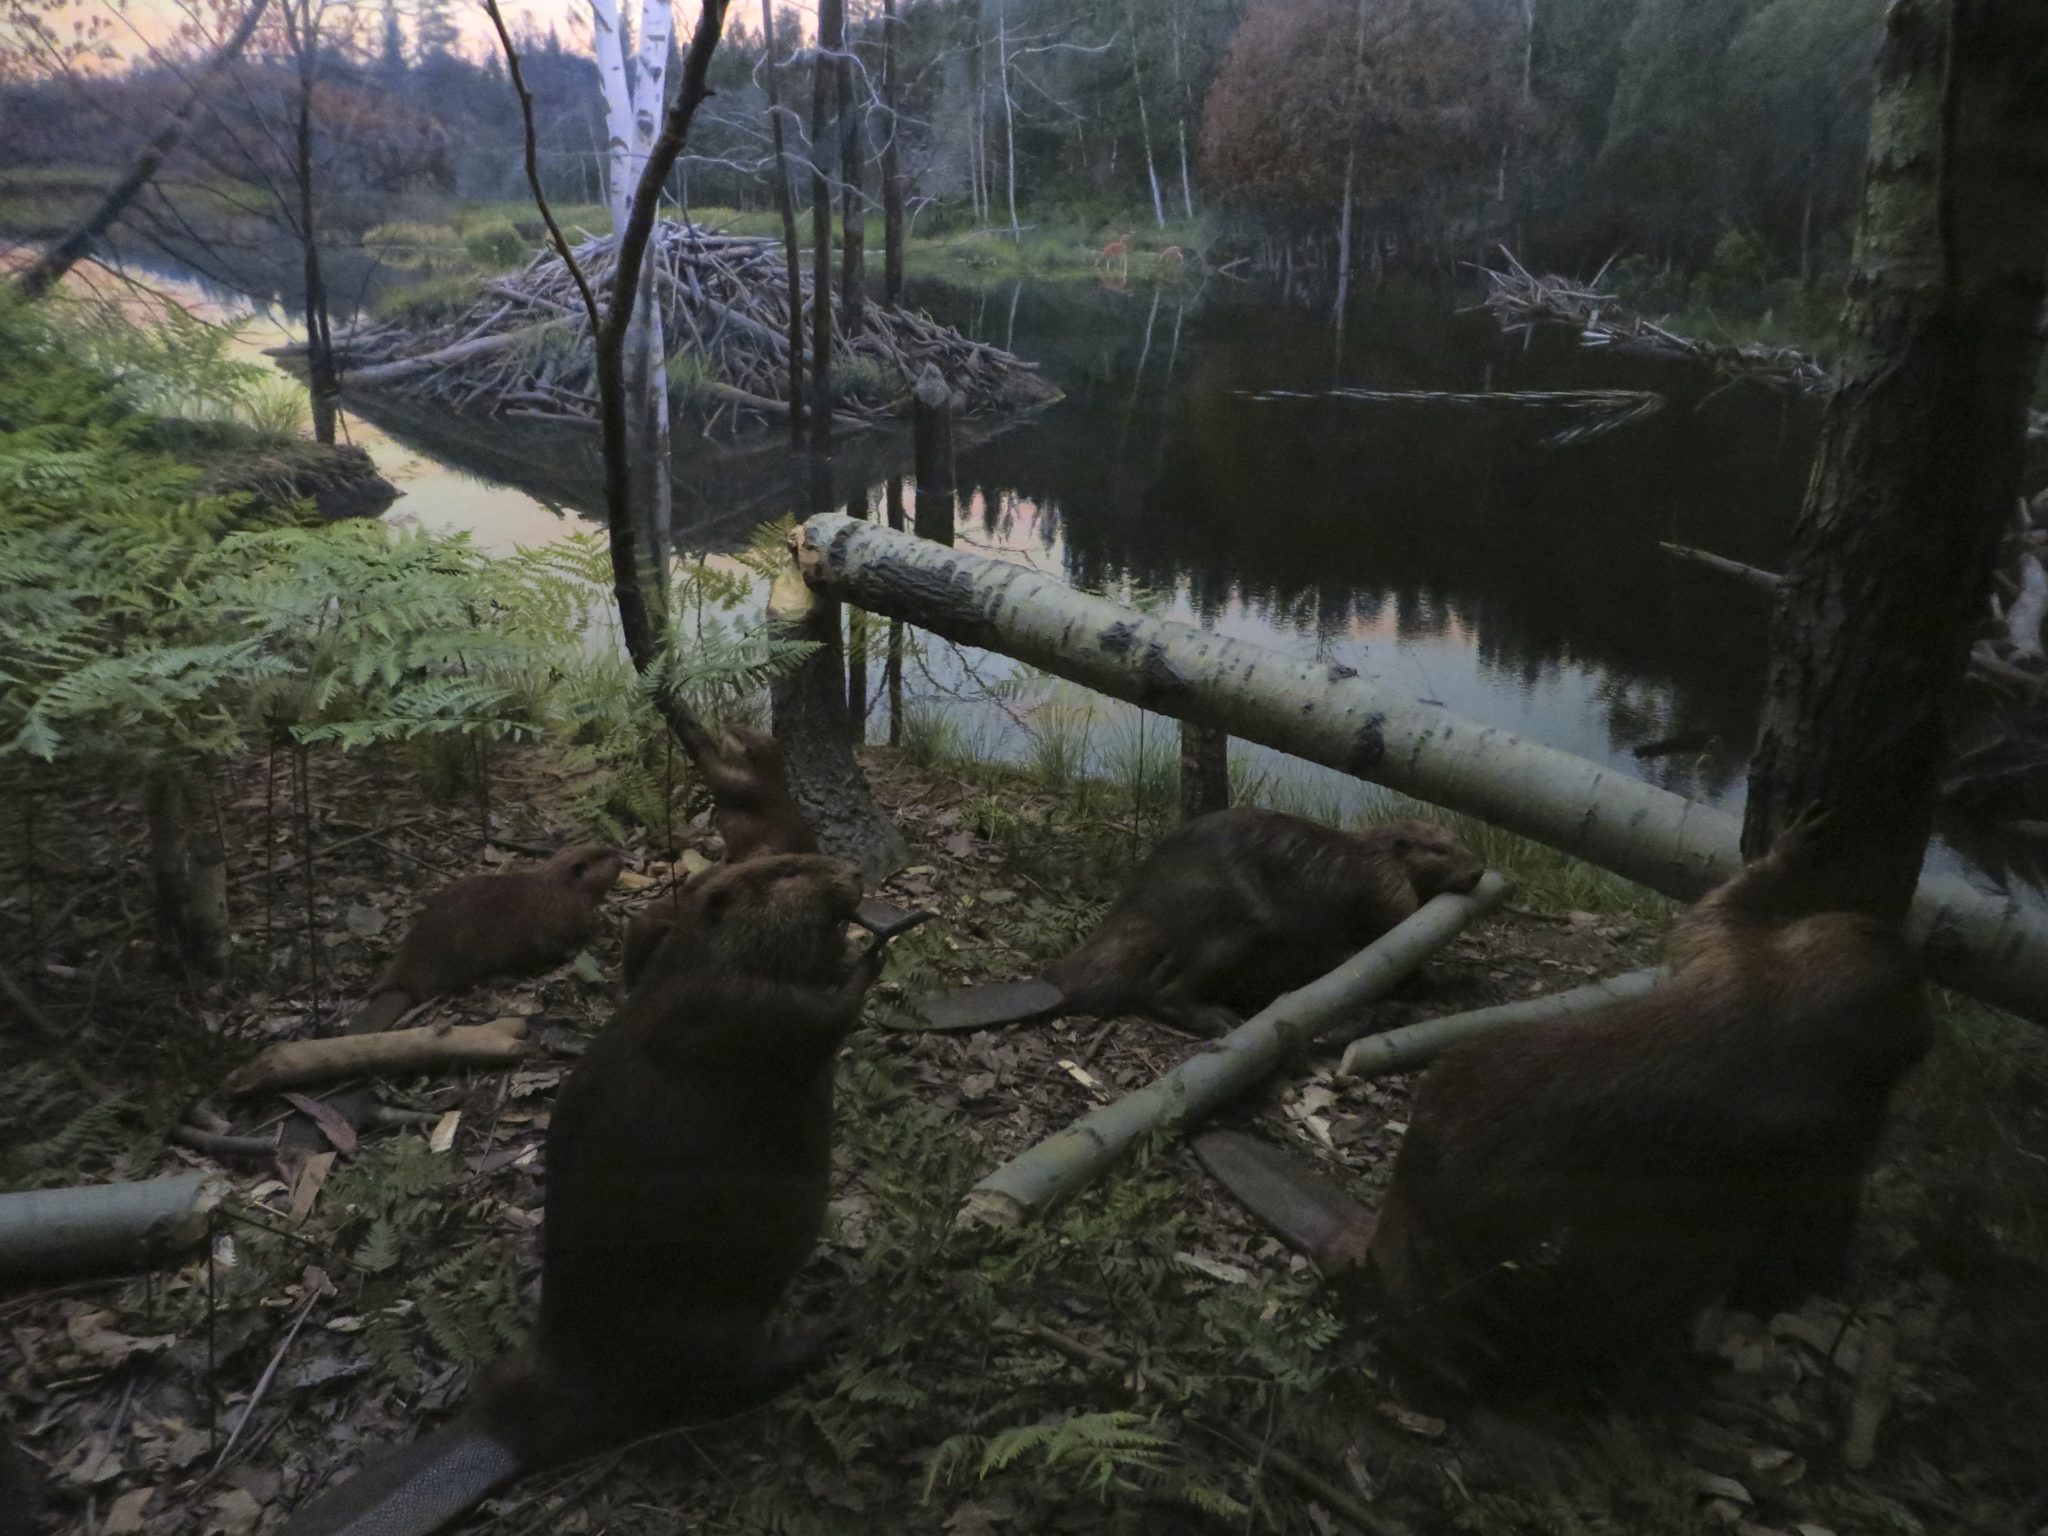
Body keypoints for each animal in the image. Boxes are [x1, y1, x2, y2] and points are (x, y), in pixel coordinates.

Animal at [344, 846, 626, 1034]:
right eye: (601, 856)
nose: (620, 858)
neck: (559, 885)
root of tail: (402, 983)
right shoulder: (563, 917)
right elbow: (564, 944)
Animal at [914, 810, 1486, 1036]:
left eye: (1460, 838)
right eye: (1440, 848)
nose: (1479, 869)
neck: (1370, 852)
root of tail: (1054, 983)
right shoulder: (1386, 889)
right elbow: (1397, 937)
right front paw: (1438, 979)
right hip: (1236, 932)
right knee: (1160, 991)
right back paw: (1221, 1019)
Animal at [1198, 821, 1932, 1407]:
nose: (1927, 1036)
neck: (1760, 1014)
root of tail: (1362, 1243)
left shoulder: (1727, 965)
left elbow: (1711, 917)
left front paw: (1799, 842)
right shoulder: (1812, 1112)